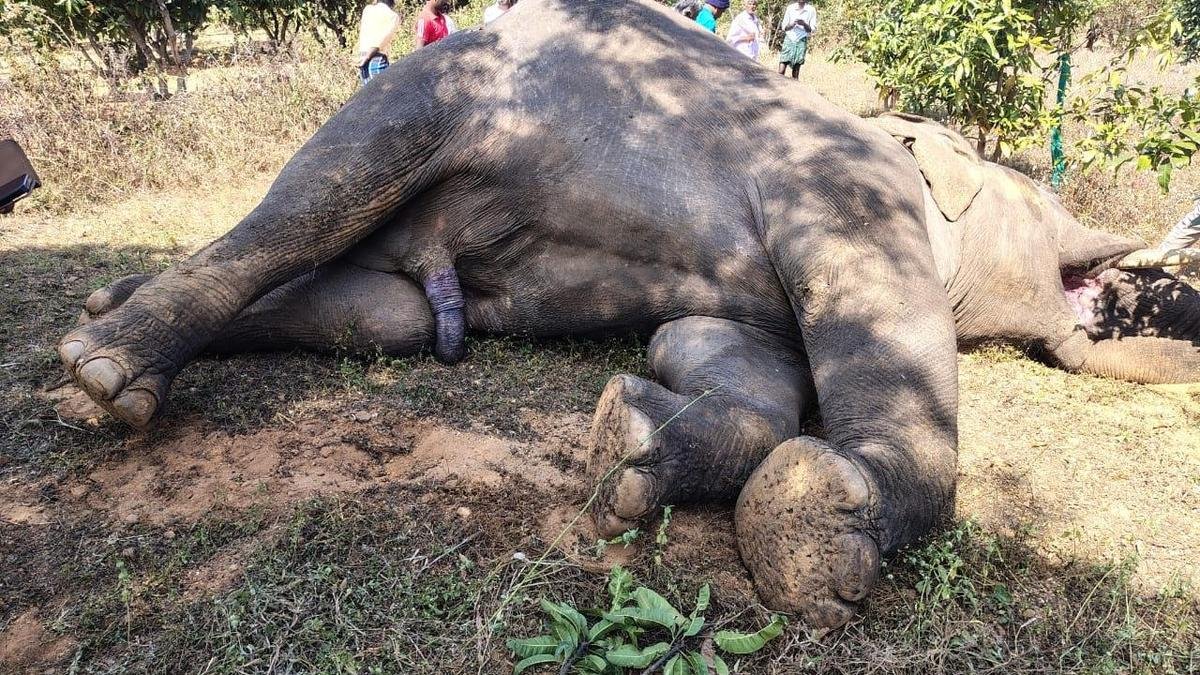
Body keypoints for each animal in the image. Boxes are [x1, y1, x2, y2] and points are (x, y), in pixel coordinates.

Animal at [57, 0, 1198, 629]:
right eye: (1038, 203)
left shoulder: (755, 304)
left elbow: (716, 350)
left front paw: (634, 451)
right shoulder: (849, 187)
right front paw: (818, 533)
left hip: (414, 263)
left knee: (376, 311)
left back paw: (116, 315)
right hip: (438, 89)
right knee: (323, 195)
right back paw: (100, 372)